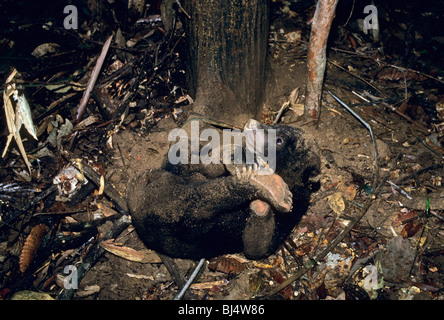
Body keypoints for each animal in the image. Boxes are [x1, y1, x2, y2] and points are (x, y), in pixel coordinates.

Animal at [126, 119, 320, 262]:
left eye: (279, 140)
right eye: (274, 124)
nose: (251, 123)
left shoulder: (296, 208)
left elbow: (258, 249)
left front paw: (262, 201)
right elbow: (206, 165)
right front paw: (237, 157)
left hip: (160, 194)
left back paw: (273, 190)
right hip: (159, 186)